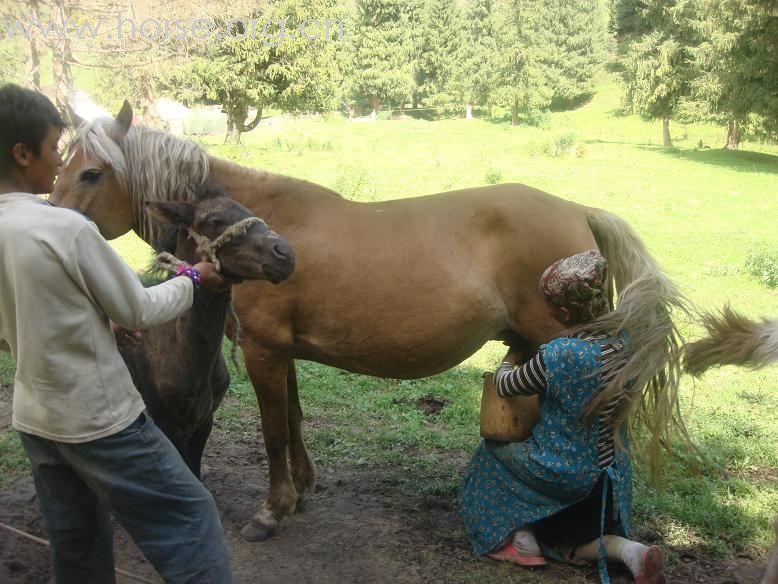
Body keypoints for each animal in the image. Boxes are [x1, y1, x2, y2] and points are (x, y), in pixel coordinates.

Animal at [51, 101, 684, 544]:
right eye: (61, 165)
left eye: (90, 174)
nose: (51, 220)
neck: (270, 226)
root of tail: (581, 211)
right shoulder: (284, 352)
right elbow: (295, 419)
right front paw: (302, 490)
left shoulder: (262, 351)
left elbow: (273, 430)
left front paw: (272, 510)